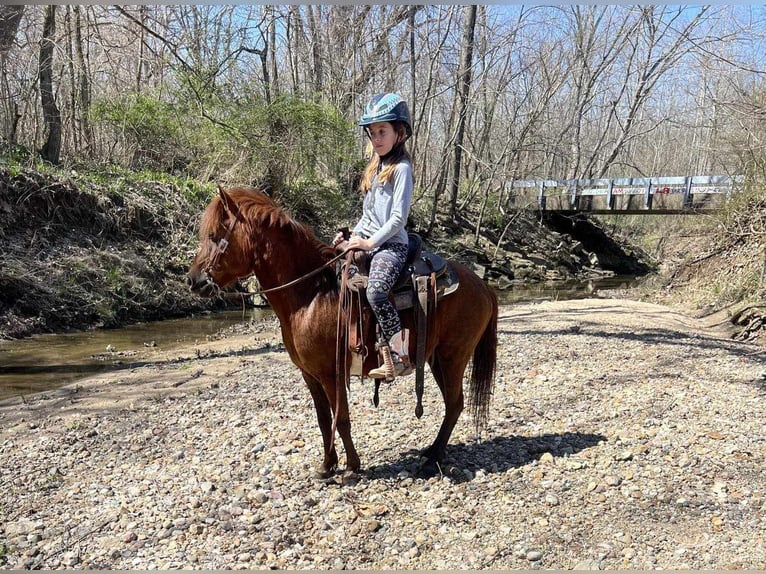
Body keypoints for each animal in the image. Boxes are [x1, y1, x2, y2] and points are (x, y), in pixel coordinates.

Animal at [186, 187, 498, 480]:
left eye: (214, 235)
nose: (193, 281)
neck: (311, 295)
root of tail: (483, 285)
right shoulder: (310, 375)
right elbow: (324, 420)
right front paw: (327, 466)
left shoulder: (331, 374)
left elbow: (342, 419)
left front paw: (351, 467)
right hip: (435, 359)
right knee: (453, 404)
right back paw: (432, 452)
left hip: (452, 357)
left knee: (455, 404)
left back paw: (432, 458)